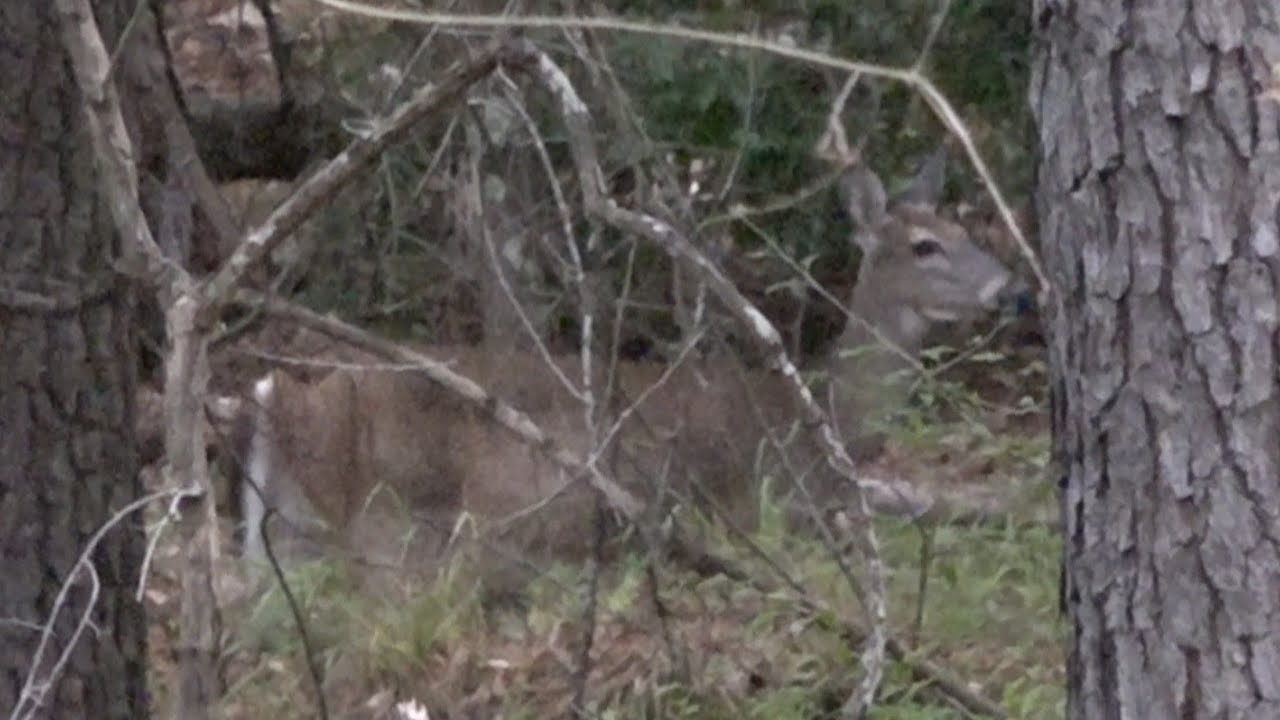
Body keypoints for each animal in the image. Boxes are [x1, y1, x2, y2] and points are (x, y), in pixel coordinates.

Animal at [233, 153, 1028, 591]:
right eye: (925, 246)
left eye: (964, 227)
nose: (1012, 289)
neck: (822, 420)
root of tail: (276, 401)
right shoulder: (761, 496)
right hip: (404, 505)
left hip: (289, 531)